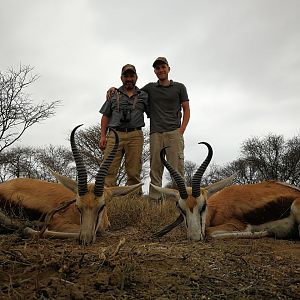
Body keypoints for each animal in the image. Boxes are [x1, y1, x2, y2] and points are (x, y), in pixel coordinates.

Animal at [152, 143, 300, 241]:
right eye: (180, 208)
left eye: (203, 206)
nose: (195, 237)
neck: (217, 209)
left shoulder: (236, 225)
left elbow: (210, 232)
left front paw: (265, 232)